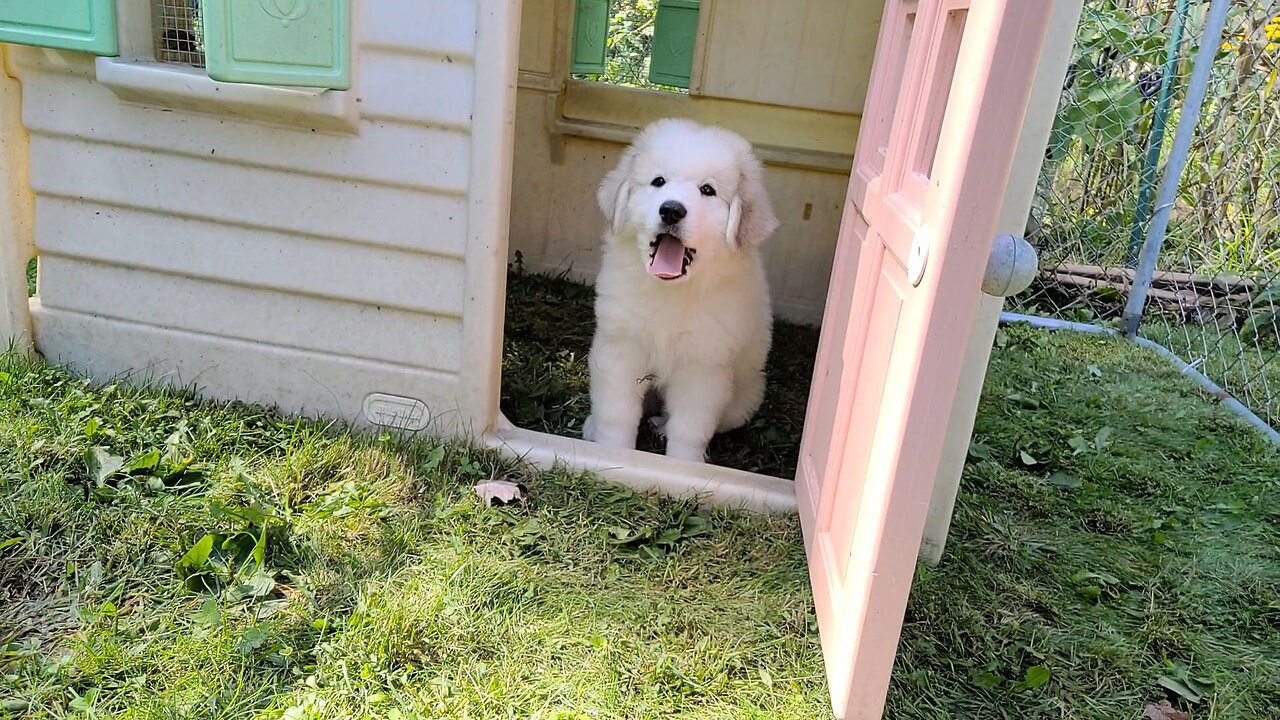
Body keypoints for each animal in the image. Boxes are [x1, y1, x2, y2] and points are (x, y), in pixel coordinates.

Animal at [583, 118, 778, 461]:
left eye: (707, 190)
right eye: (658, 181)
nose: (671, 210)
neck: (671, 291)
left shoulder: (702, 367)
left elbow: (689, 428)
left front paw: (684, 465)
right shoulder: (620, 349)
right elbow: (616, 413)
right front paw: (614, 453)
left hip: (741, 400)